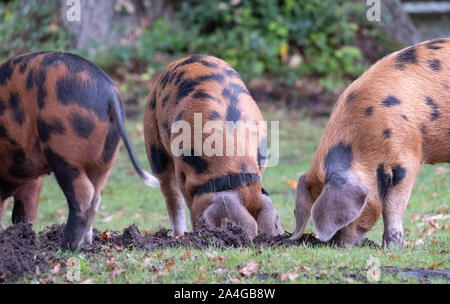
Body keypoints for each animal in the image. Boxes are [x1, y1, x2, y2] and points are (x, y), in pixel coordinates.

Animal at [144, 55, 284, 240]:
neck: (236, 166)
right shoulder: (182, 170)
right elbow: (186, 201)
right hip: (152, 136)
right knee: (171, 194)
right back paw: (178, 235)